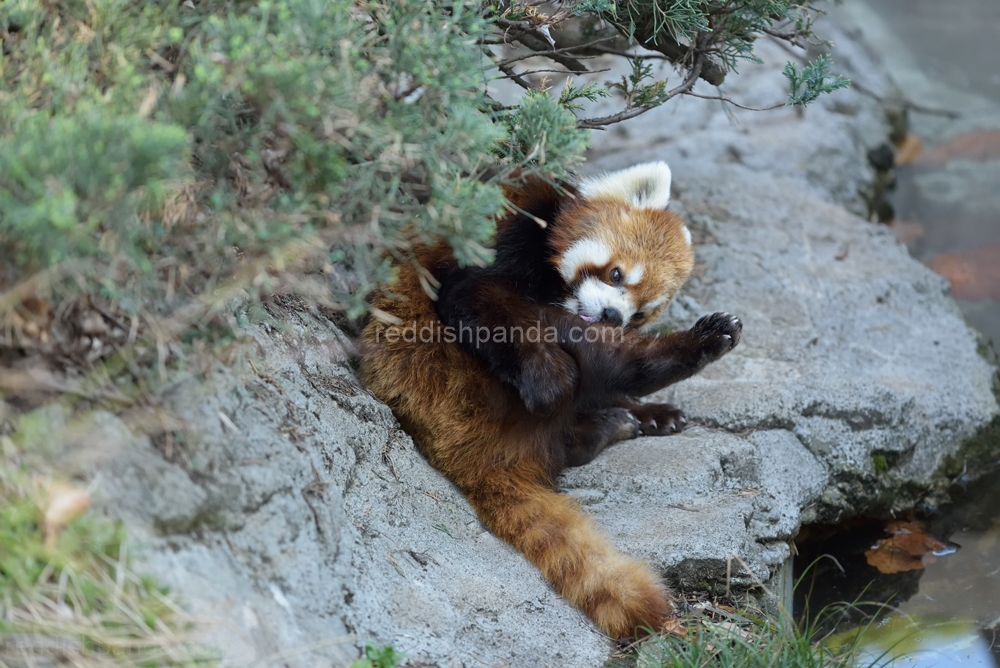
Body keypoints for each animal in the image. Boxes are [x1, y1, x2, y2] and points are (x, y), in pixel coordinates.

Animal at [360, 162, 744, 636]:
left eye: (639, 313)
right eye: (616, 274)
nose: (613, 316)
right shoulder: (505, 233)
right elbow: (477, 296)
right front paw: (549, 380)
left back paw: (641, 410)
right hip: (468, 386)